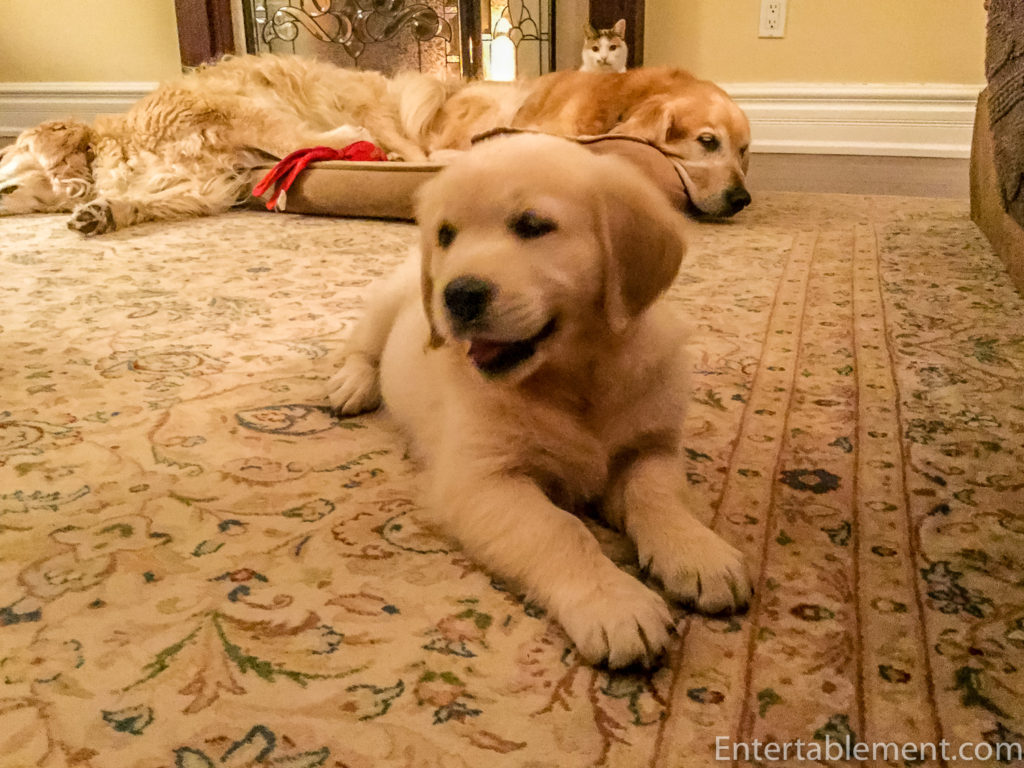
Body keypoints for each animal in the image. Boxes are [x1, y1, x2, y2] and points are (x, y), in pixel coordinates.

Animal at [0, 55, 446, 235]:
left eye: (4, 155)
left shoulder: (229, 112)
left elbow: (290, 139)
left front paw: (345, 138)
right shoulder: (201, 189)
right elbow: (144, 202)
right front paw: (101, 213)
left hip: (369, 109)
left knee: (415, 150)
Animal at [328, 133, 751, 667]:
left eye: (532, 225)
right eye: (446, 235)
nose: (457, 295)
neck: (574, 377)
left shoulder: (652, 446)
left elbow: (656, 495)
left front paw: (698, 552)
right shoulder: (483, 480)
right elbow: (560, 530)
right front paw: (615, 602)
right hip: (390, 303)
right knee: (362, 346)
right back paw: (351, 384)